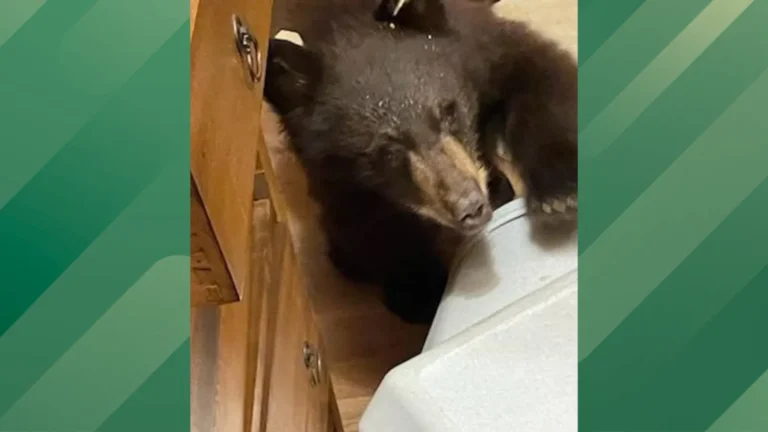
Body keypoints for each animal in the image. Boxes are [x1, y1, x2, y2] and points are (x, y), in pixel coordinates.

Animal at [264, 0, 577, 323]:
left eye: (449, 110)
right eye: (387, 151)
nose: (470, 207)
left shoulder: (479, 43)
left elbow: (537, 71)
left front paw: (557, 195)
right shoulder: (322, 163)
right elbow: (358, 223)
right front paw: (416, 287)